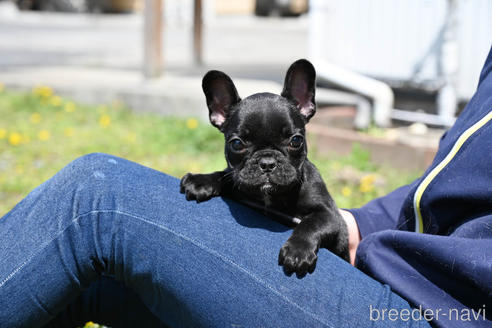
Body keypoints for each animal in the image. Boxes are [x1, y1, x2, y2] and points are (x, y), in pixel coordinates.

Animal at [181, 59, 350, 276]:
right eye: (237, 144)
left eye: (296, 140)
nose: (267, 162)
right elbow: (226, 175)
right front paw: (202, 180)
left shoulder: (331, 216)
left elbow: (311, 223)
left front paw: (297, 251)